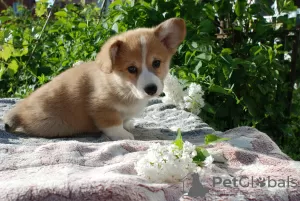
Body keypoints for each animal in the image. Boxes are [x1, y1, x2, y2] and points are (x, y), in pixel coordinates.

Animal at [4, 18, 185, 141]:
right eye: (132, 69)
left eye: (156, 63)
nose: (151, 89)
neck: (122, 85)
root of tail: (19, 110)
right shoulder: (101, 107)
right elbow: (113, 124)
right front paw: (124, 135)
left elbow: (125, 119)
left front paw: (128, 124)